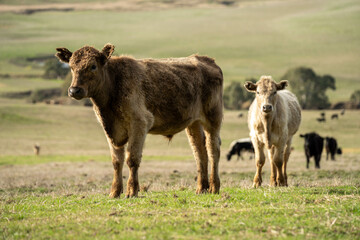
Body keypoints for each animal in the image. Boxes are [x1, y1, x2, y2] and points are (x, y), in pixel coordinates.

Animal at [55, 43, 224, 197]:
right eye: (71, 67)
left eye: (93, 66)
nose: (74, 90)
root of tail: (207, 59)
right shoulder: (110, 130)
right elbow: (116, 161)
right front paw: (114, 192)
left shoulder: (140, 123)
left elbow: (132, 159)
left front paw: (132, 191)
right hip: (193, 123)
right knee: (199, 152)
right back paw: (201, 188)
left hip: (213, 119)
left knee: (213, 150)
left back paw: (214, 187)